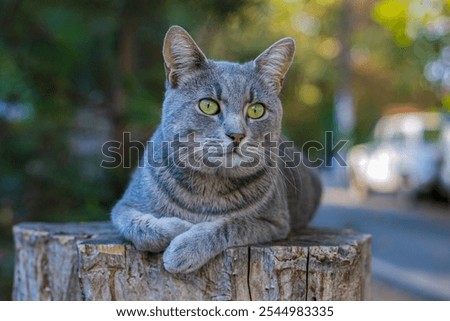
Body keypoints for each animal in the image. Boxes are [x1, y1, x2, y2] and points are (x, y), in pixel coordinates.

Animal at [112, 25, 324, 272]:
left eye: (256, 110)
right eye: (208, 105)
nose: (237, 135)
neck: (209, 186)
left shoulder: (275, 222)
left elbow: (231, 223)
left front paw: (186, 247)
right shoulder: (123, 206)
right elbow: (139, 225)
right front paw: (178, 227)